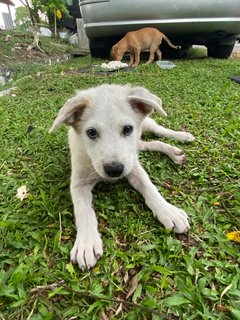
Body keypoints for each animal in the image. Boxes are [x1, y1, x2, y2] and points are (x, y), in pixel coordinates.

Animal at [49, 83, 195, 270]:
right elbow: (84, 211)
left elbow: (150, 188)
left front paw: (167, 211)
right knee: (149, 143)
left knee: (159, 130)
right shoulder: (79, 184)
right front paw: (86, 242)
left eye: (127, 129)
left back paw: (181, 137)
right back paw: (174, 152)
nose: (114, 170)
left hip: (145, 125)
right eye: (91, 133)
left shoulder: (133, 166)